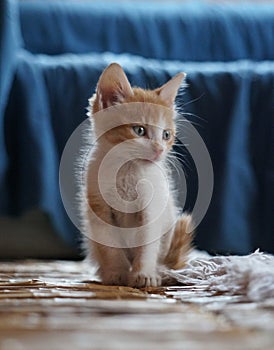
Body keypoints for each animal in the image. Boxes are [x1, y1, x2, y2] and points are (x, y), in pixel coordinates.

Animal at [81, 63, 193, 288]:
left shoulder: (152, 206)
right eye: (139, 130)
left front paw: (144, 275)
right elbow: (110, 244)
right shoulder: (99, 205)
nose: (159, 150)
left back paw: (161, 272)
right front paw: (117, 273)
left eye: (166, 134)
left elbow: (148, 242)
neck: (127, 170)